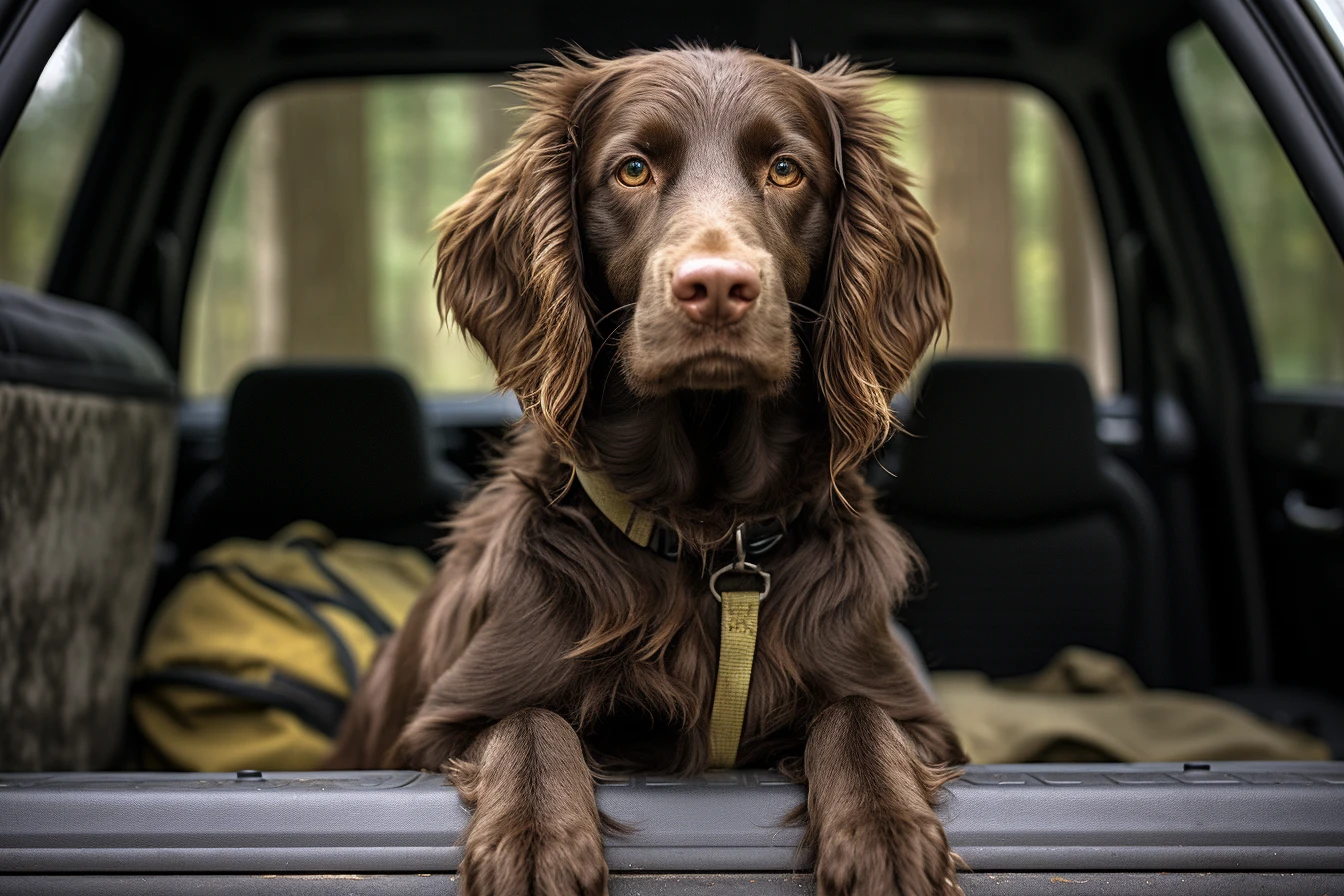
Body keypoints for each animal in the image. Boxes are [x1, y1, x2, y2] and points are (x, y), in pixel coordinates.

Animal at [331, 45, 973, 896]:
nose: (717, 288)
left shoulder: (916, 717)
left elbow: (859, 716)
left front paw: (885, 832)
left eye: (787, 169)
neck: (703, 534)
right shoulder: (435, 728)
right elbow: (529, 718)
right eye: (632, 169)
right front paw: (535, 840)